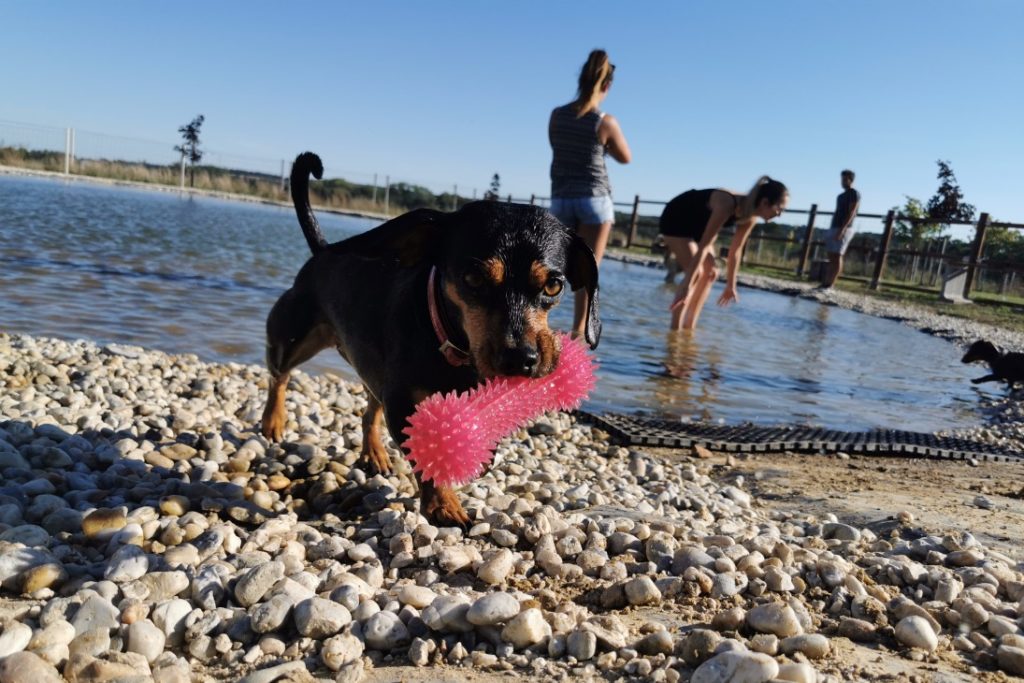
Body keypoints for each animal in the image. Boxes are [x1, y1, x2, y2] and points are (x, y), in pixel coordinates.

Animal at [260, 154, 602, 528]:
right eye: (473, 278)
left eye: (553, 285)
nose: (521, 360)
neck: (451, 344)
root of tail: (321, 252)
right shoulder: (402, 404)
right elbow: (429, 459)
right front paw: (444, 505)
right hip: (294, 338)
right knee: (279, 376)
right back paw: (273, 421)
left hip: (371, 369)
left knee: (368, 412)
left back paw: (374, 453)